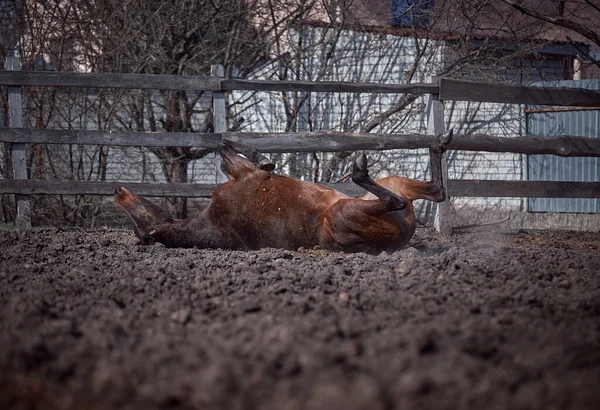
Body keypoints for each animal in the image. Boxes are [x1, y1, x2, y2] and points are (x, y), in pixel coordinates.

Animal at [116, 135, 450, 255]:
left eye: (139, 219)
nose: (119, 191)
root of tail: (400, 240)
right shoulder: (244, 174)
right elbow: (227, 149)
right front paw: (263, 157)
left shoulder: (242, 174)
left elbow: (226, 148)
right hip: (343, 211)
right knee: (404, 198)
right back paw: (358, 171)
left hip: (391, 182)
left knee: (436, 191)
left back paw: (439, 142)